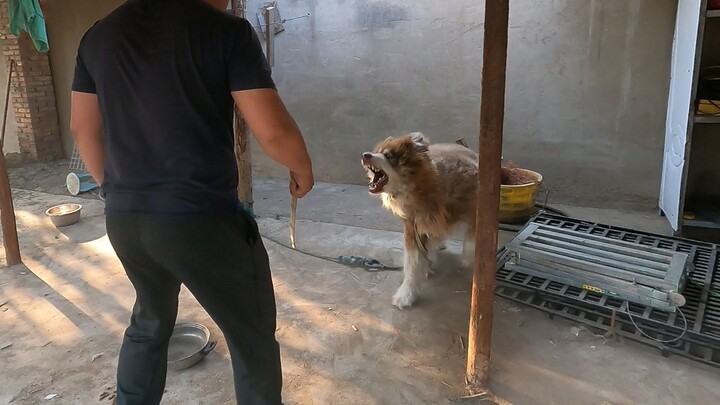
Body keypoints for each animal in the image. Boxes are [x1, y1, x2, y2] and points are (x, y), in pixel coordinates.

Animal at [360, 131, 478, 308]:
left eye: (388, 156)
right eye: (377, 152)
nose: (365, 155)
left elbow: (471, 244)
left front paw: (468, 260)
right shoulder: (412, 226)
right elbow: (412, 264)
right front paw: (406, 294)